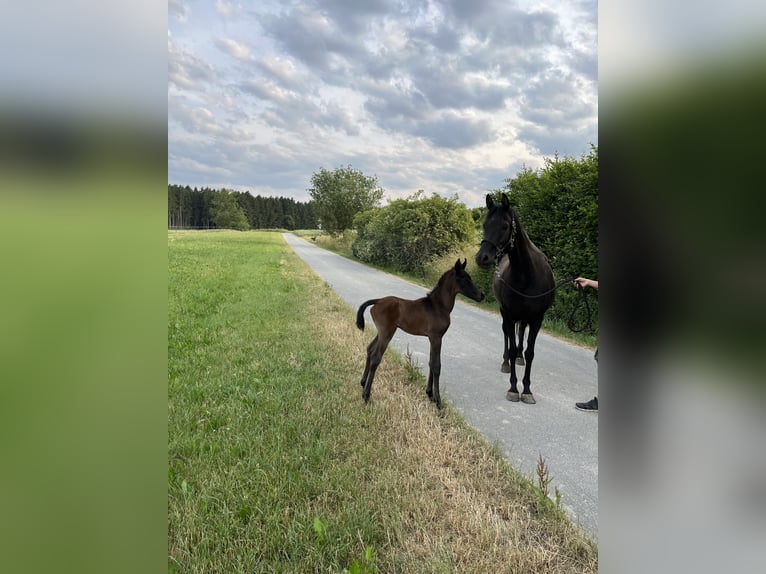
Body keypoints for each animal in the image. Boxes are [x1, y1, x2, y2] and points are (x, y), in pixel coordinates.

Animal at [476, 195, 556, 404]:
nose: (482, 258)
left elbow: (530, 352)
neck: (527, 274)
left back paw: (520, 358)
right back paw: (506, 362)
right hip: (505, 312)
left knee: (521, 333)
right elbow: (511, 347)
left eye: (505, 226)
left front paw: (527, 390)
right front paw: (513, 388)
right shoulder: (510, 313)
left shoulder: (537, 319)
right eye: (485, 224)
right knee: (507, 334)